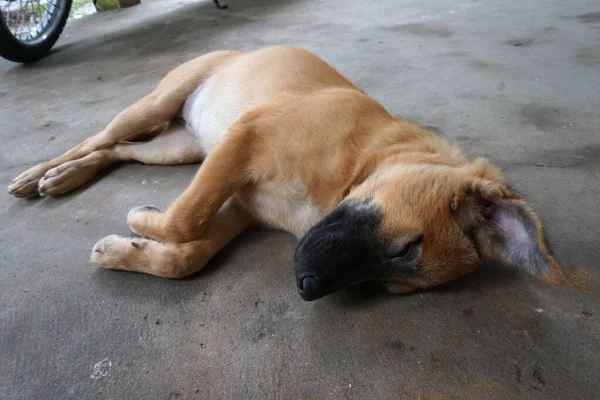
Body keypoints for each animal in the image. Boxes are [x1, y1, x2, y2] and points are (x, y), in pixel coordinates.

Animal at [7, 46, 564, 300]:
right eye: (407, 247)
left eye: (390, 288)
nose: (307, 288)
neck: (364, 159)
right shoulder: (245, 139)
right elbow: (186, 219)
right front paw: (140, 219)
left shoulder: (240, 206)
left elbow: (188, 254)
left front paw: (129, 248)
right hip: (159, 105)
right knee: (96, 139)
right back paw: (40, 176)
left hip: (179, 149)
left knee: (118, 150)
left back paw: (68, 177)